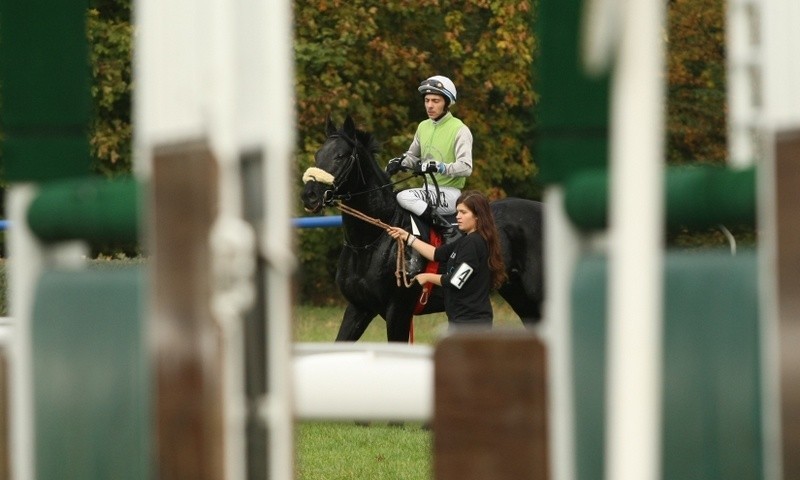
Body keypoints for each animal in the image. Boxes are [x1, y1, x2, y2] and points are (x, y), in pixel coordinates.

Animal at [302, 116, 544, 342]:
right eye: (317, 155)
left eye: (341, 156)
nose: (309, 195)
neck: (370, 241)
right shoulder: (359, 307)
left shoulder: (398, 311)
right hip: (517, 295)